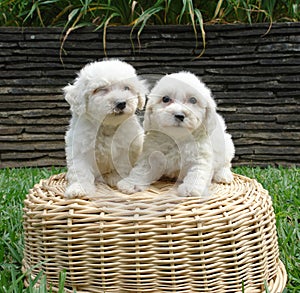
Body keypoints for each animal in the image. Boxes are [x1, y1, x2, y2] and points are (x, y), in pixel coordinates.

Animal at [64, 59, 148, 196]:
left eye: (126, 88)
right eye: (101, 89)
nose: (121, 103)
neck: (107, 125)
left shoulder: (125, 148)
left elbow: (122, 165)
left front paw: (117, 178)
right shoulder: (79, 148)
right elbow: (81, 170)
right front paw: (79, 188)